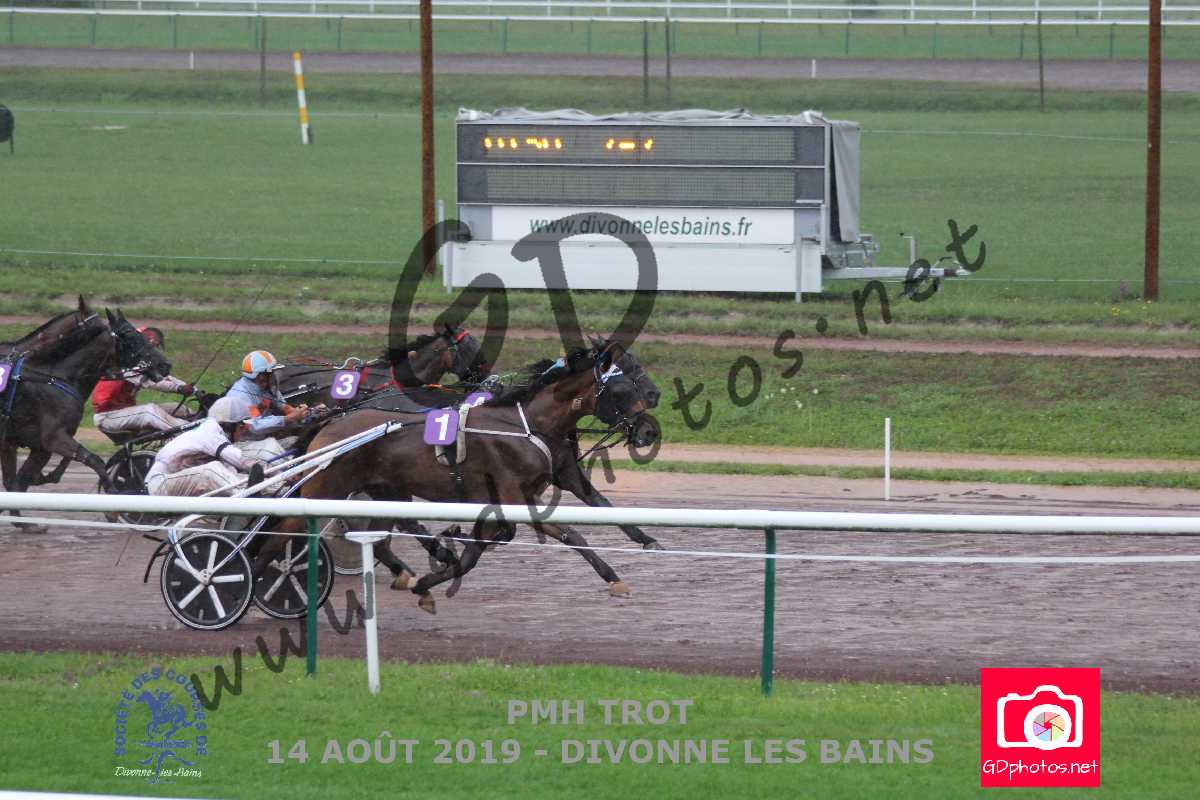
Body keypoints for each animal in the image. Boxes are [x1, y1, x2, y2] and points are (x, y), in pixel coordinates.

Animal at [0, 303, 171, 529]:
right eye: (130, 335)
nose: (165, 364)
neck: (52, 377)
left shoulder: (36, 444)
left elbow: (21, 479)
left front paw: (22, 520)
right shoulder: (51, 438)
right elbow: (95, 460)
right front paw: (115, 503)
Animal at [255, 341, 650, 613]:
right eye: (622, 387)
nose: (649, 429)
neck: (526, 426)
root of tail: (331, 422)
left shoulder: (516, 497)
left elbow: (557, 530)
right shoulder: (513, 494)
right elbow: (561, 533)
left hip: (387, 491)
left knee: (381, 540)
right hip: (326, 488)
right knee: (280, 533)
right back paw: (254, 579)